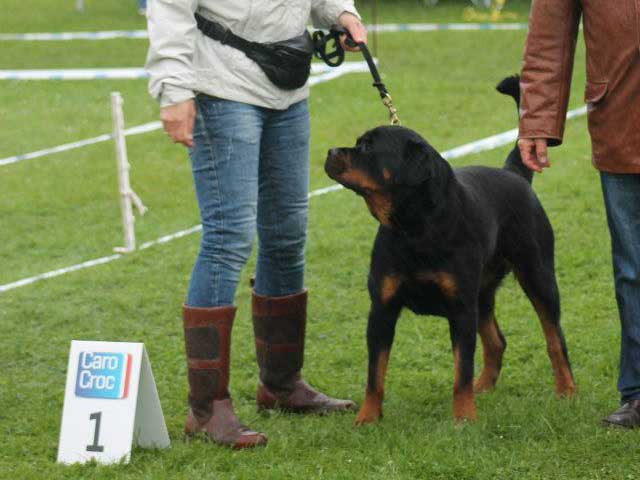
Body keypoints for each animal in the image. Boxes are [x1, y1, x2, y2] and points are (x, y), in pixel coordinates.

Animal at [324, 75, 576, 424]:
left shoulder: (460, 308)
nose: (331, 151)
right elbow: (375, 374)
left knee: (554, 338)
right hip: (482, 292)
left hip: (537, 275)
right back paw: (485, 386)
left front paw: (464, 417)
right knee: (496, 341)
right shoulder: (382, 308)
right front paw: (368, 417)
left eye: (369, 148)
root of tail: (513, 172)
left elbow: (462, 370)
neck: (415, 227)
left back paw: (566, 389)